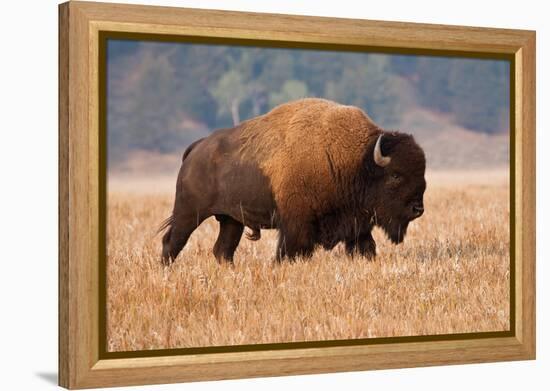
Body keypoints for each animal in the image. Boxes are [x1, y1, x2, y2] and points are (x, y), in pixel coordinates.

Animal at [160, 98, 426, 264]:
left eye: (421, 173)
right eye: (395, 175)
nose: (418, 209)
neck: (357, 161)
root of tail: (197, 148)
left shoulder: (356, 224)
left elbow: (366, 247)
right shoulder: (296, 225)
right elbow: (289, 252)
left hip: (231, 220)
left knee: (222, 251)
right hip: (189, 213)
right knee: (172, 241)